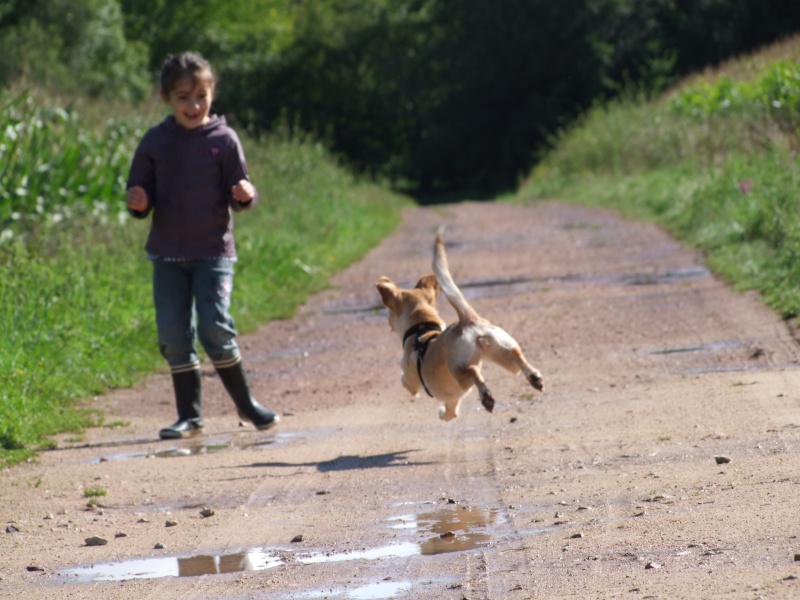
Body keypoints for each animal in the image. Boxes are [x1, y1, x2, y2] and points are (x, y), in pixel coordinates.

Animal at [376, 231, 544, 422]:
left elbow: (405, 381)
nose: (388, 322)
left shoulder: (410, 378)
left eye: (389, 314)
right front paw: (443, 413)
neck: (422, 328)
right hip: (503, 351)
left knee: (474, 374)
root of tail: (468, 320)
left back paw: (486, 397)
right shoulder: (452, 399)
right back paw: (534, 378)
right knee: (517, 358)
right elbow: (451, 412)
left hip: (460, 369)